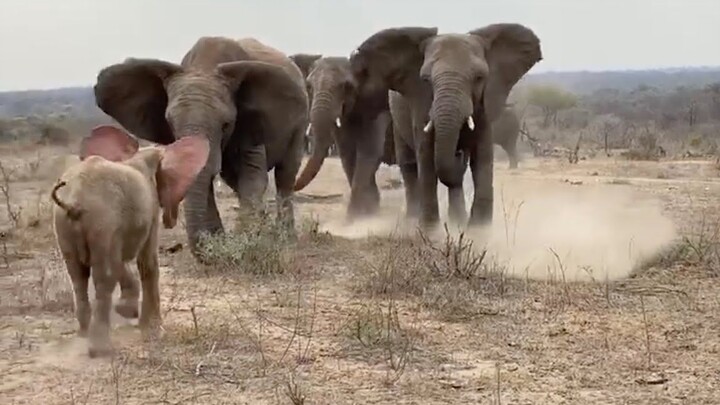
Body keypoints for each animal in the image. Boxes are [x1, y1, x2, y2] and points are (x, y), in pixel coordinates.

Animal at [52, 125, 209, 357]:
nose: (171, 220)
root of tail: (74, 201)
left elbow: (123, 262)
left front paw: (128, 311)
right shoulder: (150, 209)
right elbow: (147, 262)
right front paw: (153, 330)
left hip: (65, 225)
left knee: (78, 275)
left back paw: (84, 334)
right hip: (102, 220)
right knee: (104, 276)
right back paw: (101, 349)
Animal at [93, 37, 309, 256]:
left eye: (226, 125)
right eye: (170, 123)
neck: (203, 66)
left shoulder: (249, 123)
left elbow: (252, 176)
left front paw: (245, 242)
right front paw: (223, 242)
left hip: (300, 125)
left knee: (285, 174)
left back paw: (285, 238)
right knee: (234, 179)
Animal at [289, 53, 393, 219]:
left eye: (347, 86)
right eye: (309, 87)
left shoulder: (380, 106)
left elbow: (369, 152)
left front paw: (353, 219)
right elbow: (347, 155)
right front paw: (368, 214)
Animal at [349, 24, 542, 229]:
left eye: (479, 78)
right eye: (426, 79)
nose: (459, 153)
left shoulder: (485, 104)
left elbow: (482, 157)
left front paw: (479, 231)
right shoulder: (421, 103)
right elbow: (426, 155)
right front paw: (430, 231)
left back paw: (458, 221)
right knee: (409, 165)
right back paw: (413, 220)